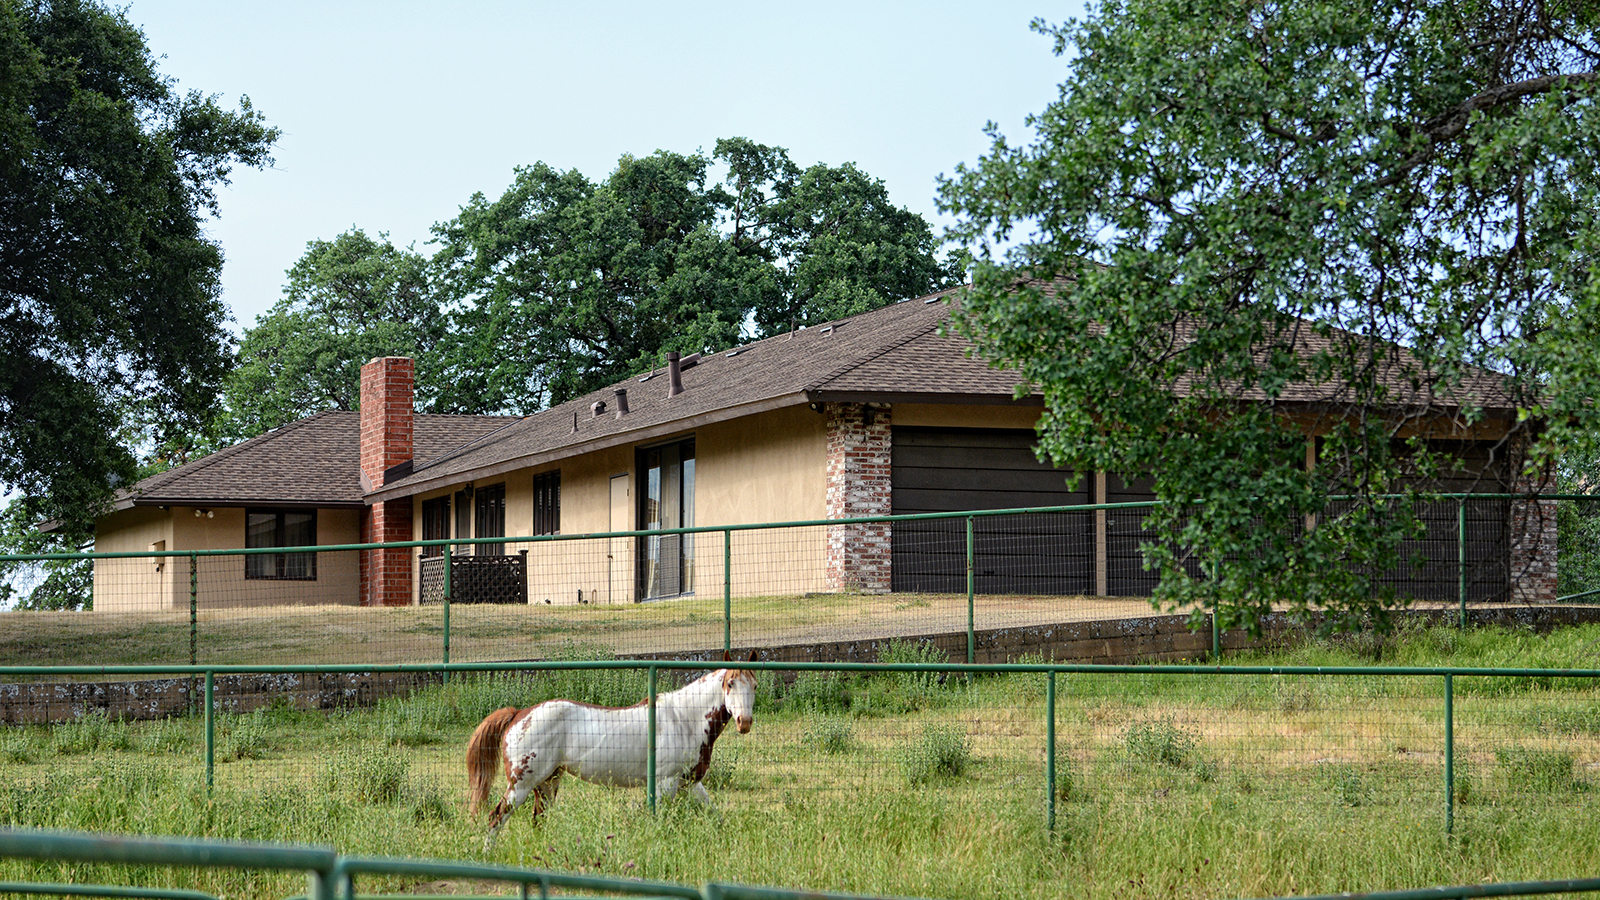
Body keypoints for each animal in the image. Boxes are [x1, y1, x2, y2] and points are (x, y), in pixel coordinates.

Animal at [467, 646, 758, 839]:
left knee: (538, 822)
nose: (744, 722)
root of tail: (518, 714)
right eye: (730, 683)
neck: (684, 719)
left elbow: (715, 816)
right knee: (496, 817)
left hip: (548, 783)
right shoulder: (665, 783)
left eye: (754, 685)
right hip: (522, 784)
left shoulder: (691, 783)